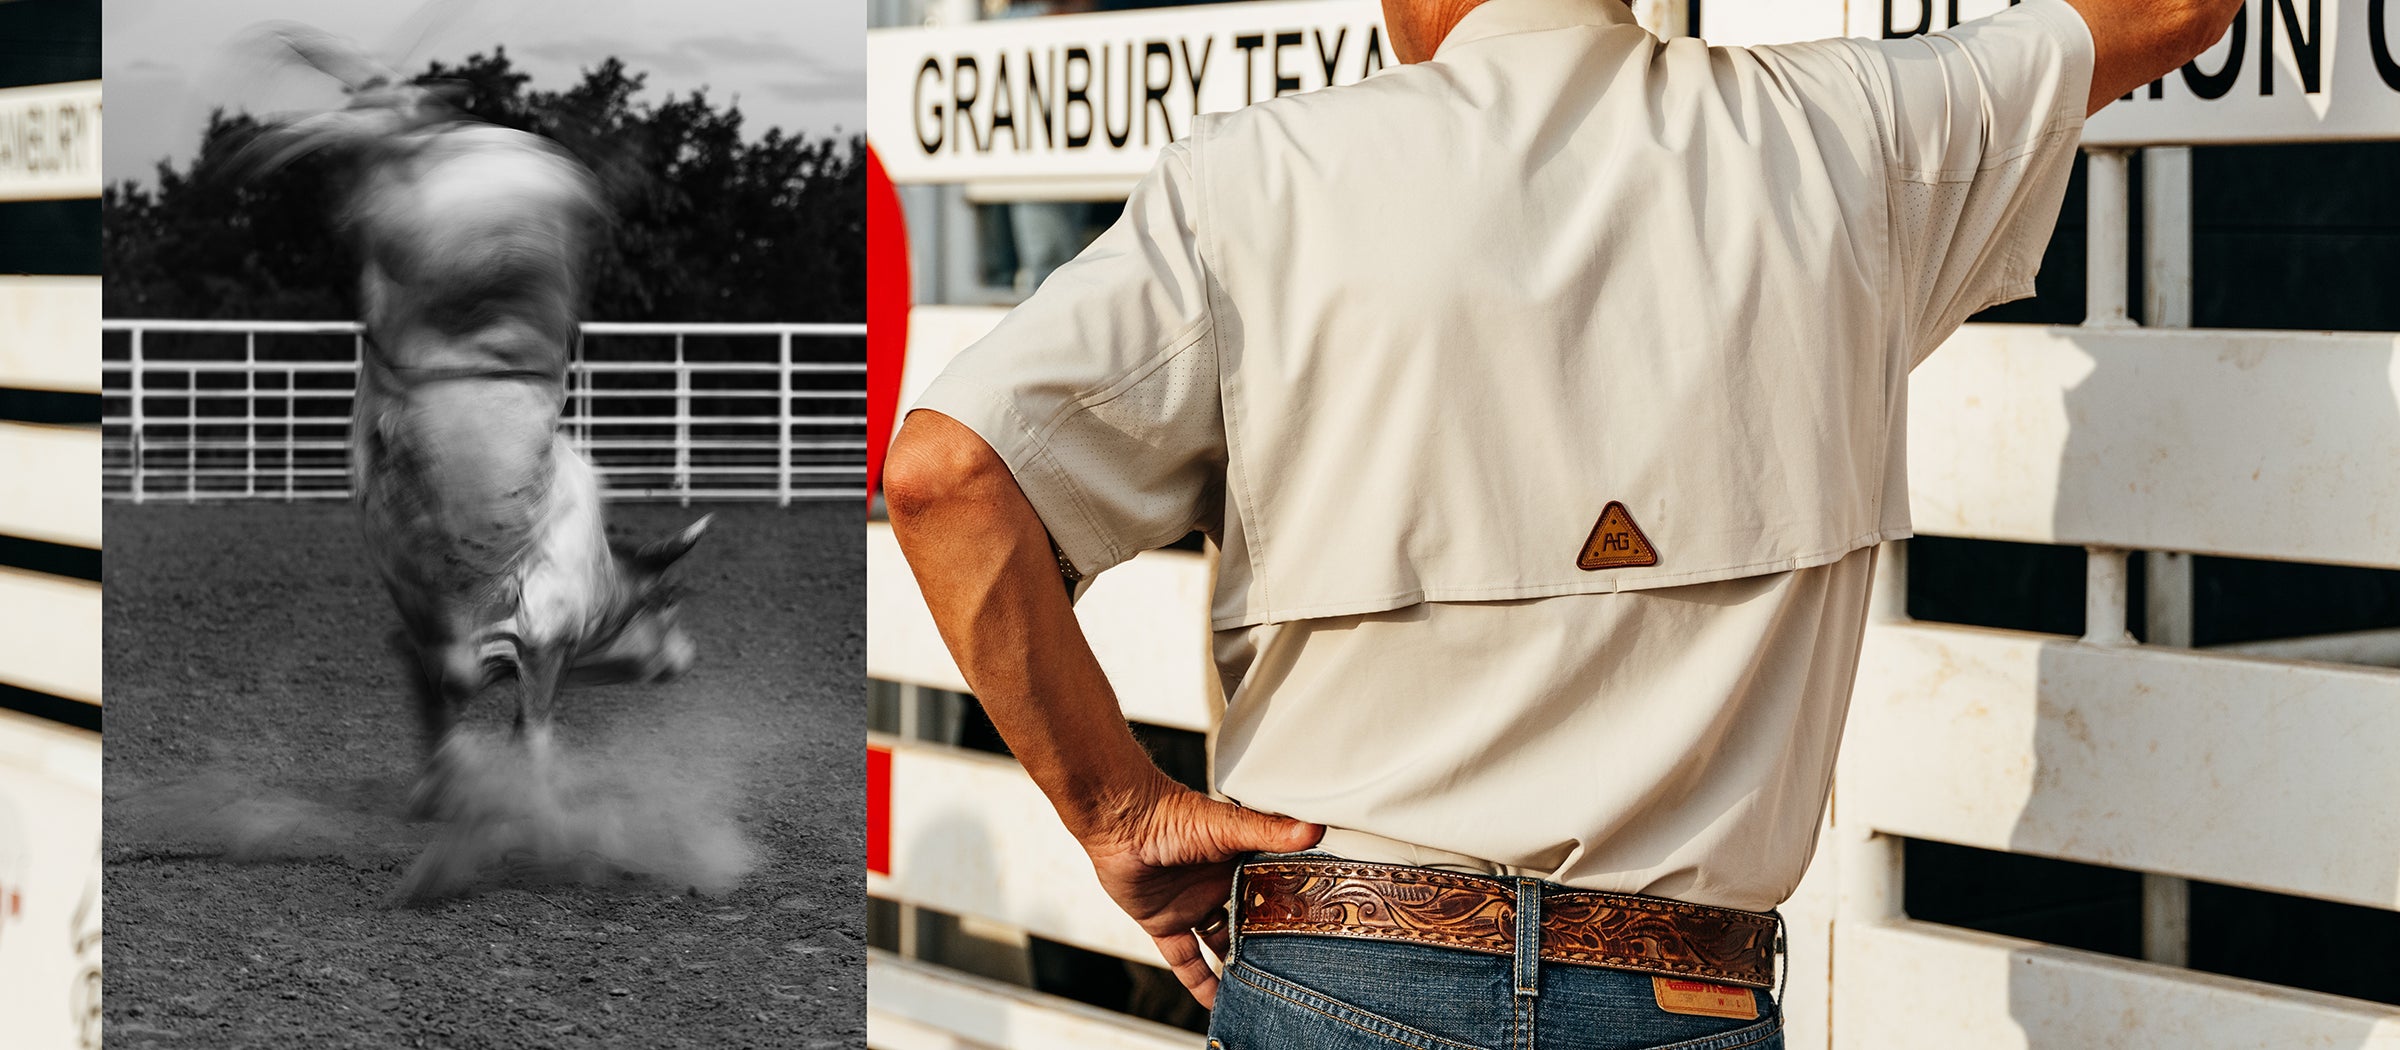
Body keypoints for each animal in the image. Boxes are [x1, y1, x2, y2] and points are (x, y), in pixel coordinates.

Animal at [243, 22, 710, 810]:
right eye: (670, 604)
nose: (686, 656)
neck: (597, 566)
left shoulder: (425, 637)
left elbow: (442, 705)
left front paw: (438, 791)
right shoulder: (543, 637)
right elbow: (531, 726)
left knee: (384, 124)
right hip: (459, 224)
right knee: (393, 131)